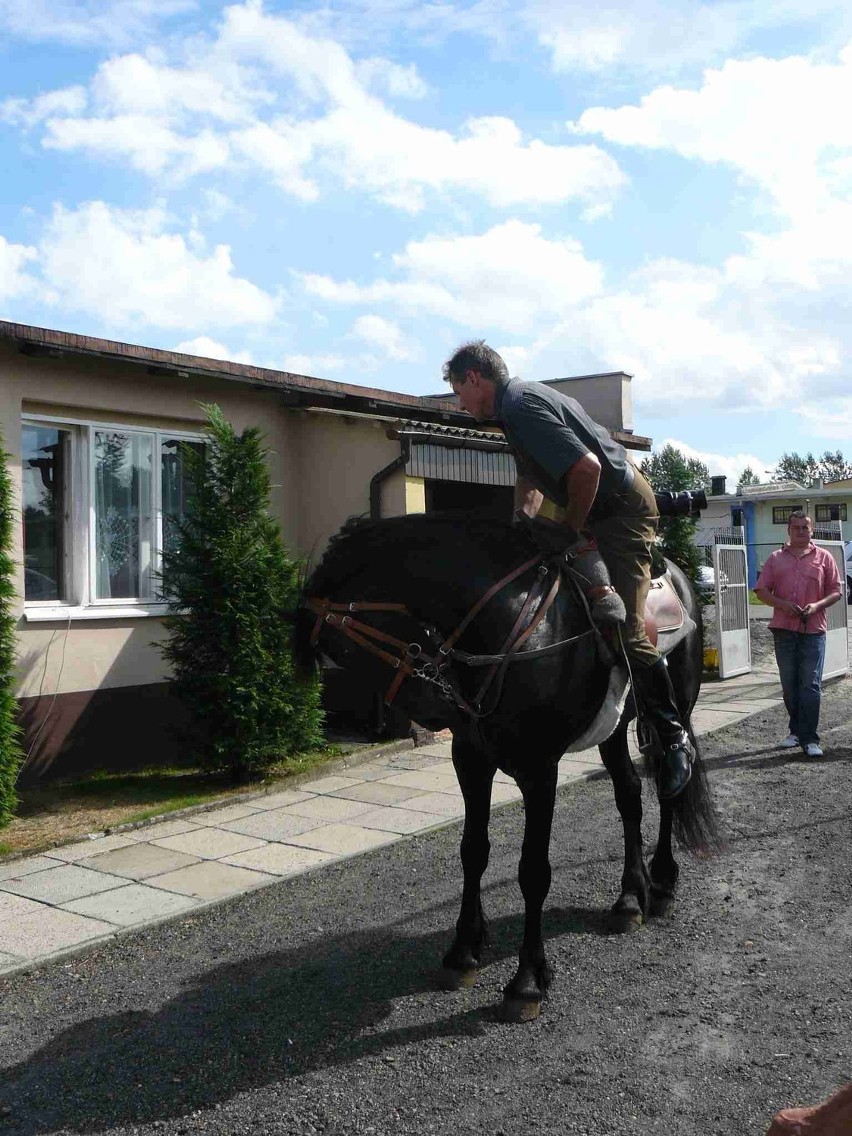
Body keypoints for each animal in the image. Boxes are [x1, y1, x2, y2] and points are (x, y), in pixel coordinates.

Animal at [297, 515, 717, 1022]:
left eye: (345, 648)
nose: (437, 708)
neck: (509, 632)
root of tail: (676, 575)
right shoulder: (470, 760)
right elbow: (472, 851)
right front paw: (463, 951)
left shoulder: (540, 771)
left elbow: (533, 870)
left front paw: (528, 980)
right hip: (614, 730)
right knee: (629, 795)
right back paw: (630, 898)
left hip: (677, 708)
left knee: (671, 782)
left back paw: (662, 879)